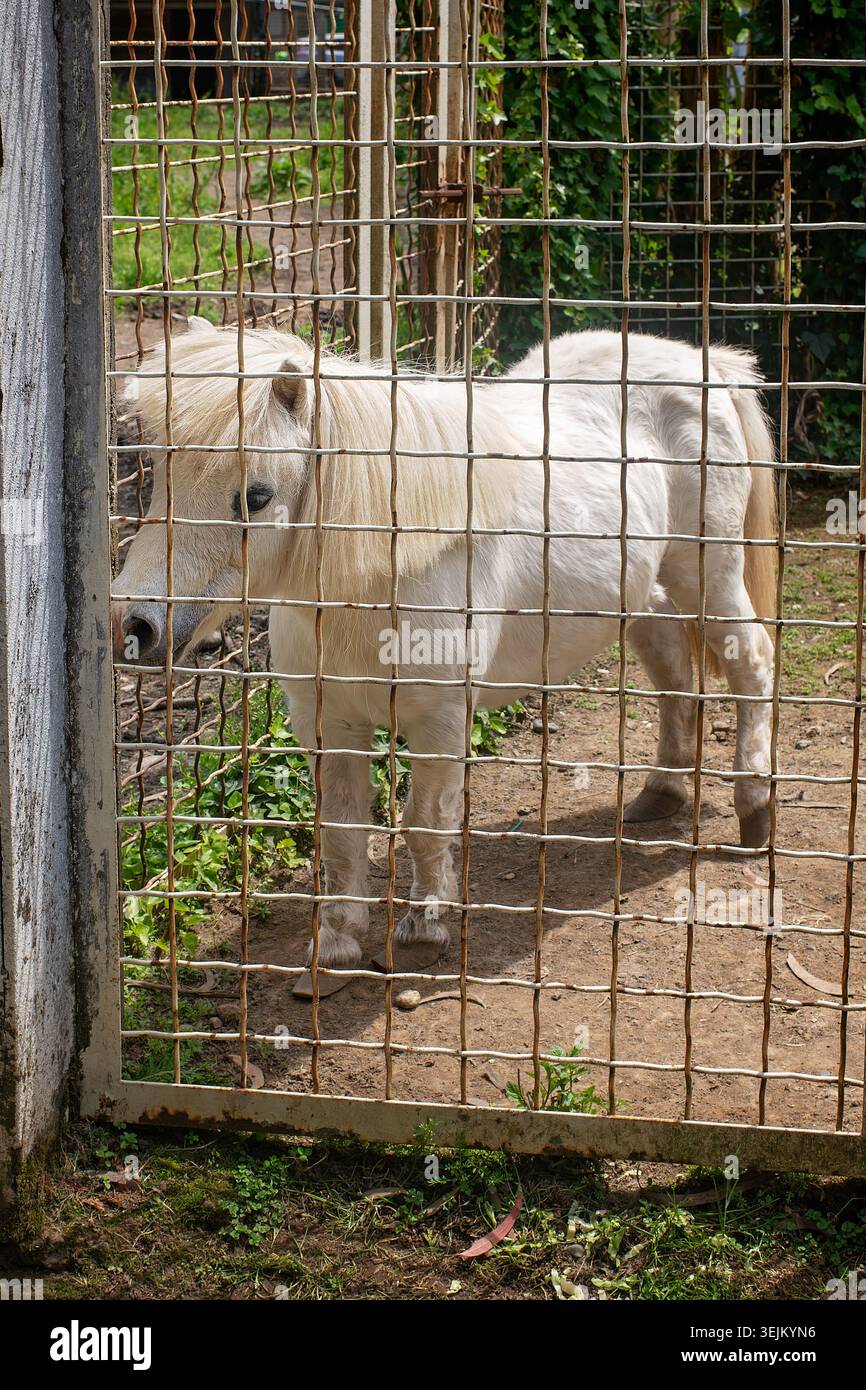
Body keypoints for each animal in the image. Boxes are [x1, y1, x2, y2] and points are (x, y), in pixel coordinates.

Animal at [112, 317, 776, 970]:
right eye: (162, 480)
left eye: (257, 496)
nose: (136, 626)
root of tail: (704, 363)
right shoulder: (327, 722)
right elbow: (342, 830)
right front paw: (337, 940)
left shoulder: (440, 720)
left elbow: (425, 823)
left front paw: (425, 926)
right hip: (643, 590)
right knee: (673, 674)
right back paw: (661, 792)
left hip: (709, 576)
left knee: (752, 663)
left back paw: (754, 810)